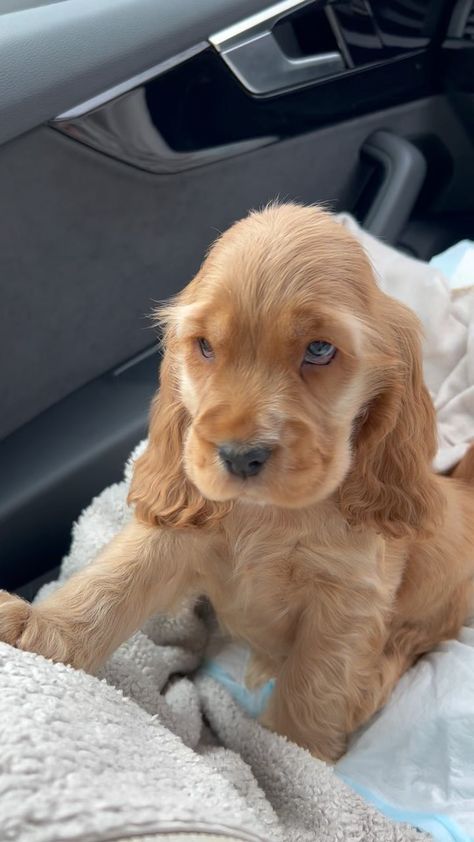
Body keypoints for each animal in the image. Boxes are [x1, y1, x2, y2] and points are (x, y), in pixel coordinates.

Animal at [0, 205, 474, 760]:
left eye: (319, 349)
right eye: (205, 346)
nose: (239, 457)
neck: (267, 516)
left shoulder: (347, 602)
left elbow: (314, 687)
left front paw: (294, 754)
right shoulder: (186, 524)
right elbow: (118, 577)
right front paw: (37, 630)